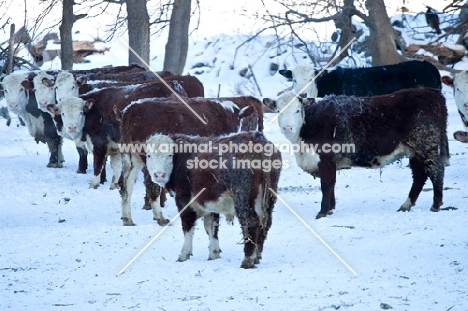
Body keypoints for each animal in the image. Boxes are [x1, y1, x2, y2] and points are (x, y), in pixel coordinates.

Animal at [119, 97, 260, 227]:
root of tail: (133, 107)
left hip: (134, 158)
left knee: (126, 184)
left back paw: (127, 218)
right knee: (152, 186)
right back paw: (160, 218)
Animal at [144, 132, 282, 268]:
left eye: (170, 155)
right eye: (149, 155)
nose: (159, 175)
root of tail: (259, 140)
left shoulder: (184, 199)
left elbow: (188, 227)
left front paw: (184, 254)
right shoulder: (210, 202)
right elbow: (211, 227)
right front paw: (214, 253)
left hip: (243, 198)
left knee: (251, 223)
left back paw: (247, 260)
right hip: (268, 198)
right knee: (265, 223)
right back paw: (257, 256)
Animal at [266, 88, 448, 219]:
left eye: (297, 110)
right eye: (279, 111)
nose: (288, 128)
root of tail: (431, 92)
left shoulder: (326, 160)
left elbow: (326, 185)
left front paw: (323, 211)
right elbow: (332, 184)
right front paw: (331, 209)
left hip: (426, 146)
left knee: (436, 171)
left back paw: (436, 204)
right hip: (414, 151)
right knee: (419, 175)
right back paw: (406, 205)